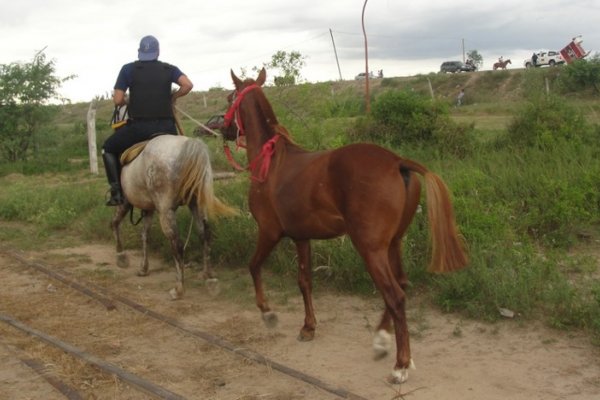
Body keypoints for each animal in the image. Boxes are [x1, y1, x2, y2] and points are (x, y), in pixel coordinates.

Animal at [110, 135, 237, 300]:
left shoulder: (125, 202)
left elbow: (116, 223)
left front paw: (121, 256)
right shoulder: (148, 209)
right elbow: (145, 235)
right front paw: (143, 268)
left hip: (166, 211)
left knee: (177, 244)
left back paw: (179, 289)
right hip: (196, 205)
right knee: (205, 235)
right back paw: (208, 277)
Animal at [221, 69, 468, 384]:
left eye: (230, 97)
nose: (220, 126)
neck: (272, 162)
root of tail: (398, 162)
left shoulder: (269, 232)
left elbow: (253, 266)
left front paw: (267, 312)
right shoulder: (302, 238)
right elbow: (304, 281)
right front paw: (308, 327)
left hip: (370, 248)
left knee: (395, 296)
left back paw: (400, 364)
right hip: (394, 243)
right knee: (400, 285)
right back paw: (382, 339)